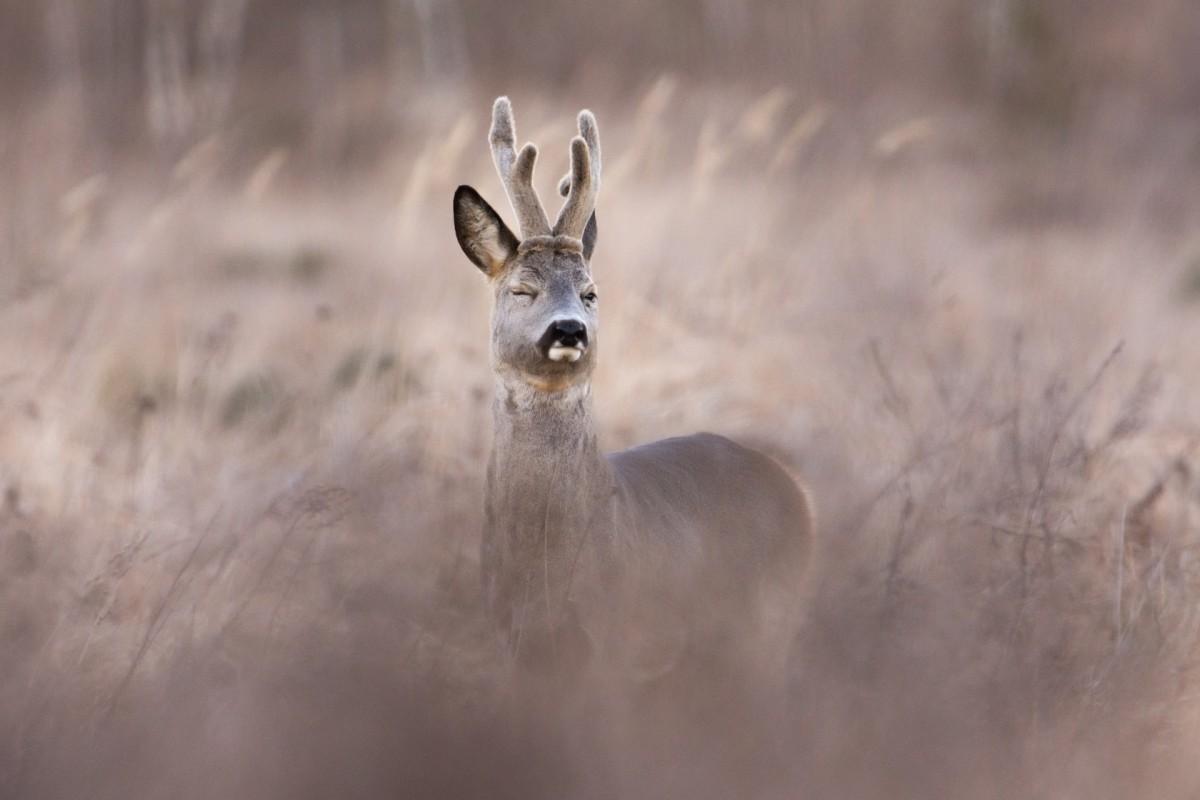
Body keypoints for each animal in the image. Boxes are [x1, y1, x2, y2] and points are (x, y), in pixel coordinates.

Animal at [451, 98, 816, 676]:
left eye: (590, 292)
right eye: (522, 289)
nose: (568, 329)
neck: (543, 564)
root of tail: (796, 489)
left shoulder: (615, 636)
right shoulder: (508, 639)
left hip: (772, 618)